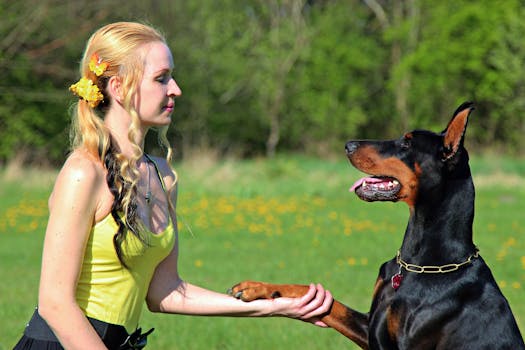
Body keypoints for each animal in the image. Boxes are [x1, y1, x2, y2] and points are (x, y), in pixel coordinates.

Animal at [230, 102, 524, 350]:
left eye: (406, 143)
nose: (348, 144)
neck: (418, 264)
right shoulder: (371, 325)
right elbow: (321, 299)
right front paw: (256, 287)